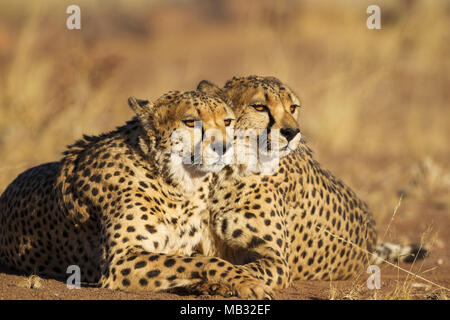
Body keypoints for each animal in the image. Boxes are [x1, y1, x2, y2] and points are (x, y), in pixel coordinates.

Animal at [0, 89, 270, 298]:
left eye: (227, 122)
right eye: (190, 122)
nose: (223, 147)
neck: (176, 181)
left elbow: (189, 260)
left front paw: (217, 284)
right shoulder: (121, 261)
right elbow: (202, 261)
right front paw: (245, 281)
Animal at [196, 76, 426, 292]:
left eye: (292, 108)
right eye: (259, 107)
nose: (292, 132)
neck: (230, 168)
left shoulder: (278, 262)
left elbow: (238, 267)